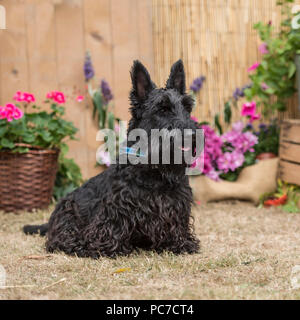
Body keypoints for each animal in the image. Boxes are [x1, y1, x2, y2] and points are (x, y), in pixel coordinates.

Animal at [23, 60, 200, 258]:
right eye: (162, 109)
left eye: (187, 107)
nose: (192, 135)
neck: (153, 171)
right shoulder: (114, 211)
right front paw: (102, 248)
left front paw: (181, 244)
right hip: (68, 213)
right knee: (59, 239)